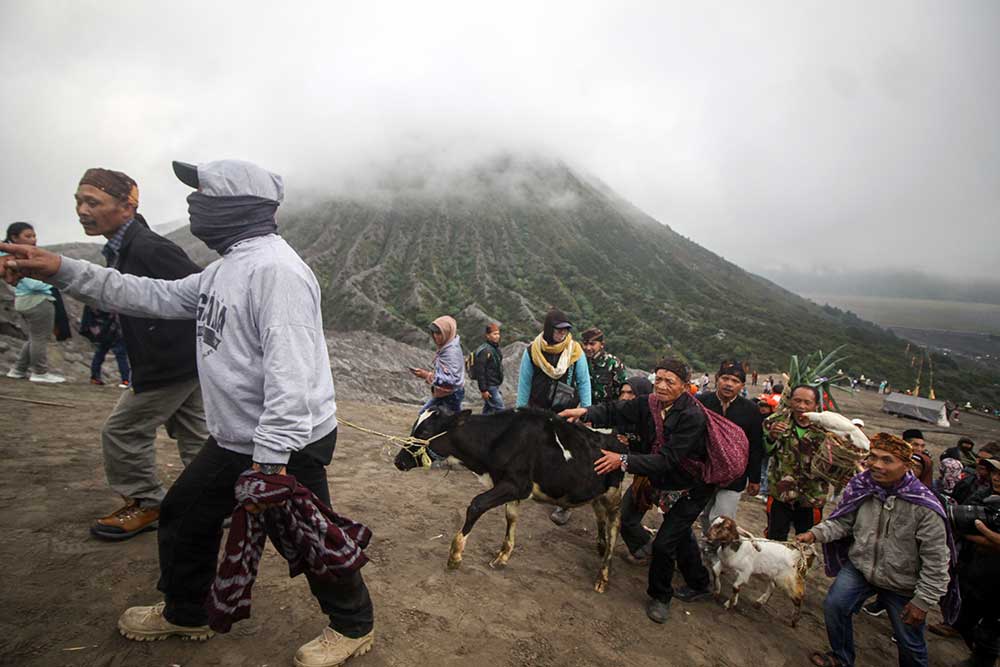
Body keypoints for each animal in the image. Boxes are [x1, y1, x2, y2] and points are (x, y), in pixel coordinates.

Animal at [392, 410, 620, 592]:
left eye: (424, 433)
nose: (398, 461)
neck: (501, 439)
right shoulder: (511, 488)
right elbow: (510, 516)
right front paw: (502, 556)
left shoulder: (517, 485)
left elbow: (477, 504)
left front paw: (455, 556)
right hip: (596, 492)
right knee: (599, 514)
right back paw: (601, 545)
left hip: (613, 493)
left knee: (614, 525)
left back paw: (603, 574)